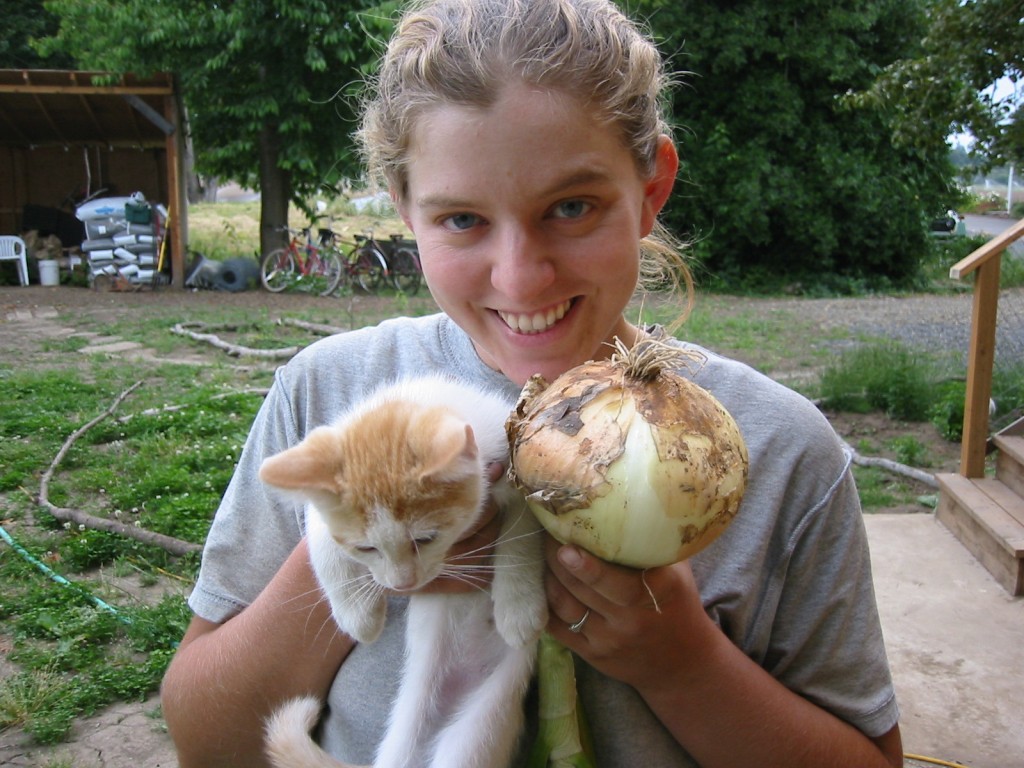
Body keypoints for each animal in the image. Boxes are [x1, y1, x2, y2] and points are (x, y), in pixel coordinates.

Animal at [258, 376, 544, 768]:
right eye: (366, 548)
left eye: (425, 539)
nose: (402, 583)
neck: (422, 395)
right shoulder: (323, 512)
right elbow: (322, 540)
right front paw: (356, 612)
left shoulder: (514, 464)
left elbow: (523, 529)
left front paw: (518, 606)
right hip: (407, 737)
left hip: (476, 732)